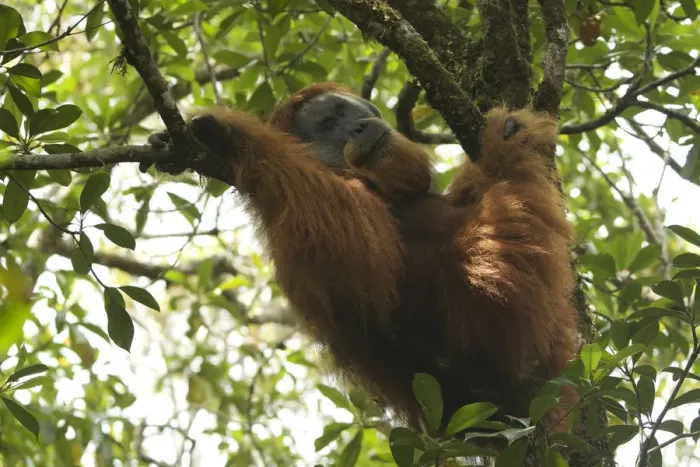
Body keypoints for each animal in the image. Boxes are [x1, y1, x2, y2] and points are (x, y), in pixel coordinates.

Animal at [148, 82, 579, 433]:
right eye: (326, 127)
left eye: (342, 113)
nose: (355, 127)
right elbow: (359, 255)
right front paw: (227, 135)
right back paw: (505, 148)